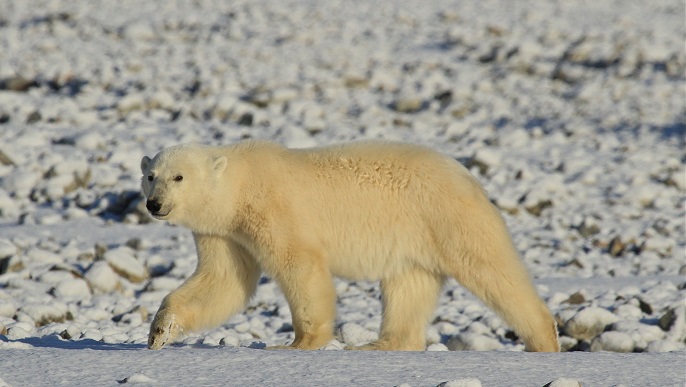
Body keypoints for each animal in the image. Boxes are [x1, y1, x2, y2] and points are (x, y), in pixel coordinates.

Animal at [142, 141, 560, 354]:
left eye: (178, 177)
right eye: (151, 175)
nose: (155, 204)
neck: (241, 181)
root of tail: (468, 176)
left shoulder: (274, 208)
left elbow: (300, 266)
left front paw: (298, 343)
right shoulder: (225, 232)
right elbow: (224, 279)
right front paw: (159, 331)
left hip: (447, 217)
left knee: (492, 269)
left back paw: (542, 341)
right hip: (413, 236)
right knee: (409, 286)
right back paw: (381, 344)